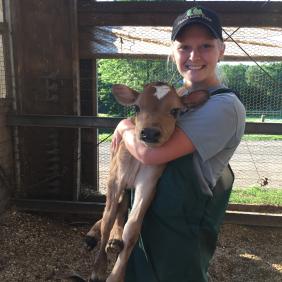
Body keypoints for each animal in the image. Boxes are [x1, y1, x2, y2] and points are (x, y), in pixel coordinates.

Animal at [82, 81, 208, 282]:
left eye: (175, 111)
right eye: (136, 107)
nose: (149, 133)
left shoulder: (148, 183)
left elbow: (132, 228)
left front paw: (116, 275)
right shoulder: (115, 179)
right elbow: (108, 218)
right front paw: (98, 269)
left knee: (122, 209)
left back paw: (115, 241)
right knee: (114, 211)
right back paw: (94, 237)